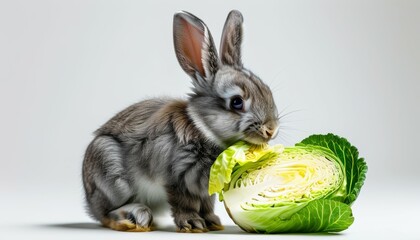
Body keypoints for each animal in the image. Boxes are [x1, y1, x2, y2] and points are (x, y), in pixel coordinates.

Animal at [82, 9, 278, 232]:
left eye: (267, 91)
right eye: (236, 102)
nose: (271, 129)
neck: (203, 128)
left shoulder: (205, 189)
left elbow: (206, 204)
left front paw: (212, 223)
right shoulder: (178, 179)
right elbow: (185, 203)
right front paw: (193, 224)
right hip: (112, 177)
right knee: (105, 214)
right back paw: (134, 217)